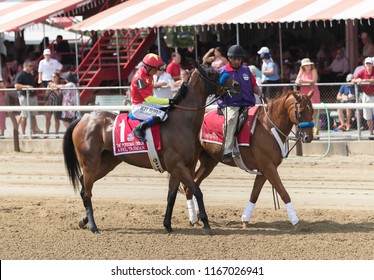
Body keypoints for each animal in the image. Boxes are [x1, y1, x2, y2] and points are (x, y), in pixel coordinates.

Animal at [61, 63, 237, 234]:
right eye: (212, 72)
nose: (235, 84)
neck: (181, 122)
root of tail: (83, 118)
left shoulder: (176, 169)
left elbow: (171, 197)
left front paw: (168, 225)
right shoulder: (178, 166)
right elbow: (197, 191)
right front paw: (206, 224)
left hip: (107, 163)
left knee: (84, 184)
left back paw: (84, 221)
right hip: (90, 163)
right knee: (87, 191)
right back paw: (93, 226)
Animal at [184, 89, 316, 230]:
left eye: (312, 111)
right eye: (301, 111)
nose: (309, 137)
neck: (268, 127)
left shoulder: (264, 169)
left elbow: (254, 194)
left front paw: (245, 219)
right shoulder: (268, 167)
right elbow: (283, 192)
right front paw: (295, 222)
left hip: (209, 162)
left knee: (195, 184)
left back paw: (197, 216)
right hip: (192, 161)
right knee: (188, 187)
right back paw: (193, 219)